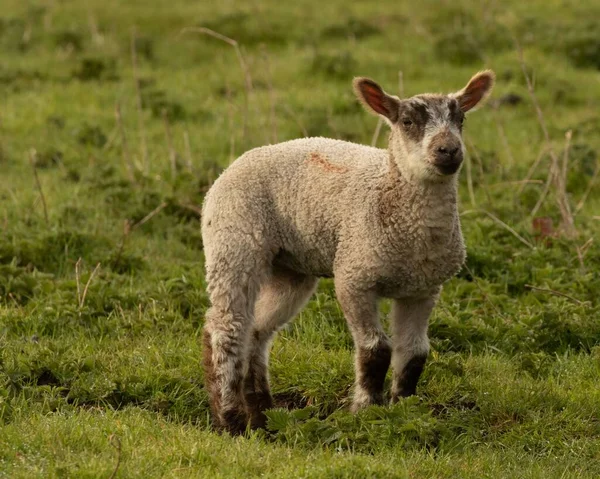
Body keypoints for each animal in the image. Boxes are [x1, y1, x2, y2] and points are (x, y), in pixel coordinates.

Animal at [202, 69, 496, 434]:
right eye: (407, 121)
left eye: (461, 119)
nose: (449, 150)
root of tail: (233, 165)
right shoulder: (355, 275)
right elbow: (375, 350)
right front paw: (365, 411)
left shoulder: (424, 288)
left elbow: (414, 354)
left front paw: (406, 410)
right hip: (234, 237)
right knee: (226, 328)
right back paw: (230, 419)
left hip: (291, 268)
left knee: (257, 330)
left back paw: (263, 412)